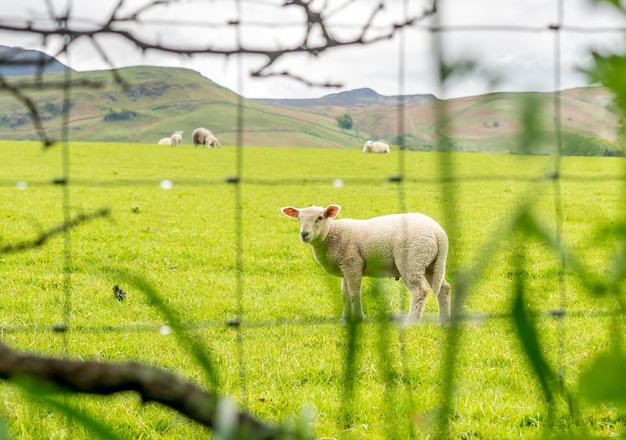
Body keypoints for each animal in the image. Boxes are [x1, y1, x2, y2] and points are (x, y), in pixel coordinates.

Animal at [282, 204, 448, 324]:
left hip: (412, 260)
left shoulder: (352, 264)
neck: (331, 234)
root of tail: (438, 232)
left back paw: (412, 321)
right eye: (298, 219)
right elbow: (345, 295)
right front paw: (345, 319)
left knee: (420, 292)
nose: (304, 234)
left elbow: (354, 294)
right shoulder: (345, 268)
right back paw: (444, 319)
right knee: (443, 288)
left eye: (320, 217)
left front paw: (358, 318)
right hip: (431, 263)